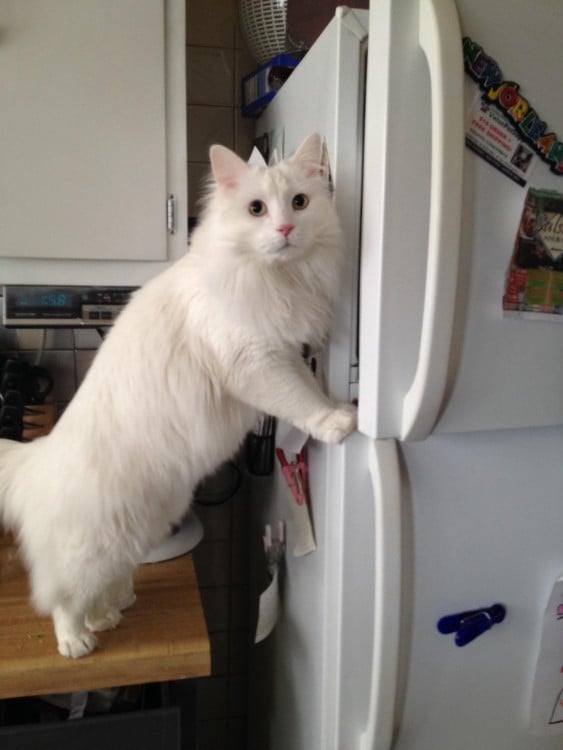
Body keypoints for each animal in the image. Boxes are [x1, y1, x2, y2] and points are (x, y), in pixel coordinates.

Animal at [0, 134, 356, 656]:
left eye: (300, 202)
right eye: (256, 209)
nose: (286, 228)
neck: (272, 278)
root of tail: (36, 457)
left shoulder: (283, 353)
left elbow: (311, 390)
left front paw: (341, 407)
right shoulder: (258, 363)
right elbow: (300, 401)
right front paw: (336, 424)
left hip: (134, 532)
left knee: (104, 586)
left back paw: (112, 614)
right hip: (90, 546)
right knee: (62, 598)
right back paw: (78, 641)